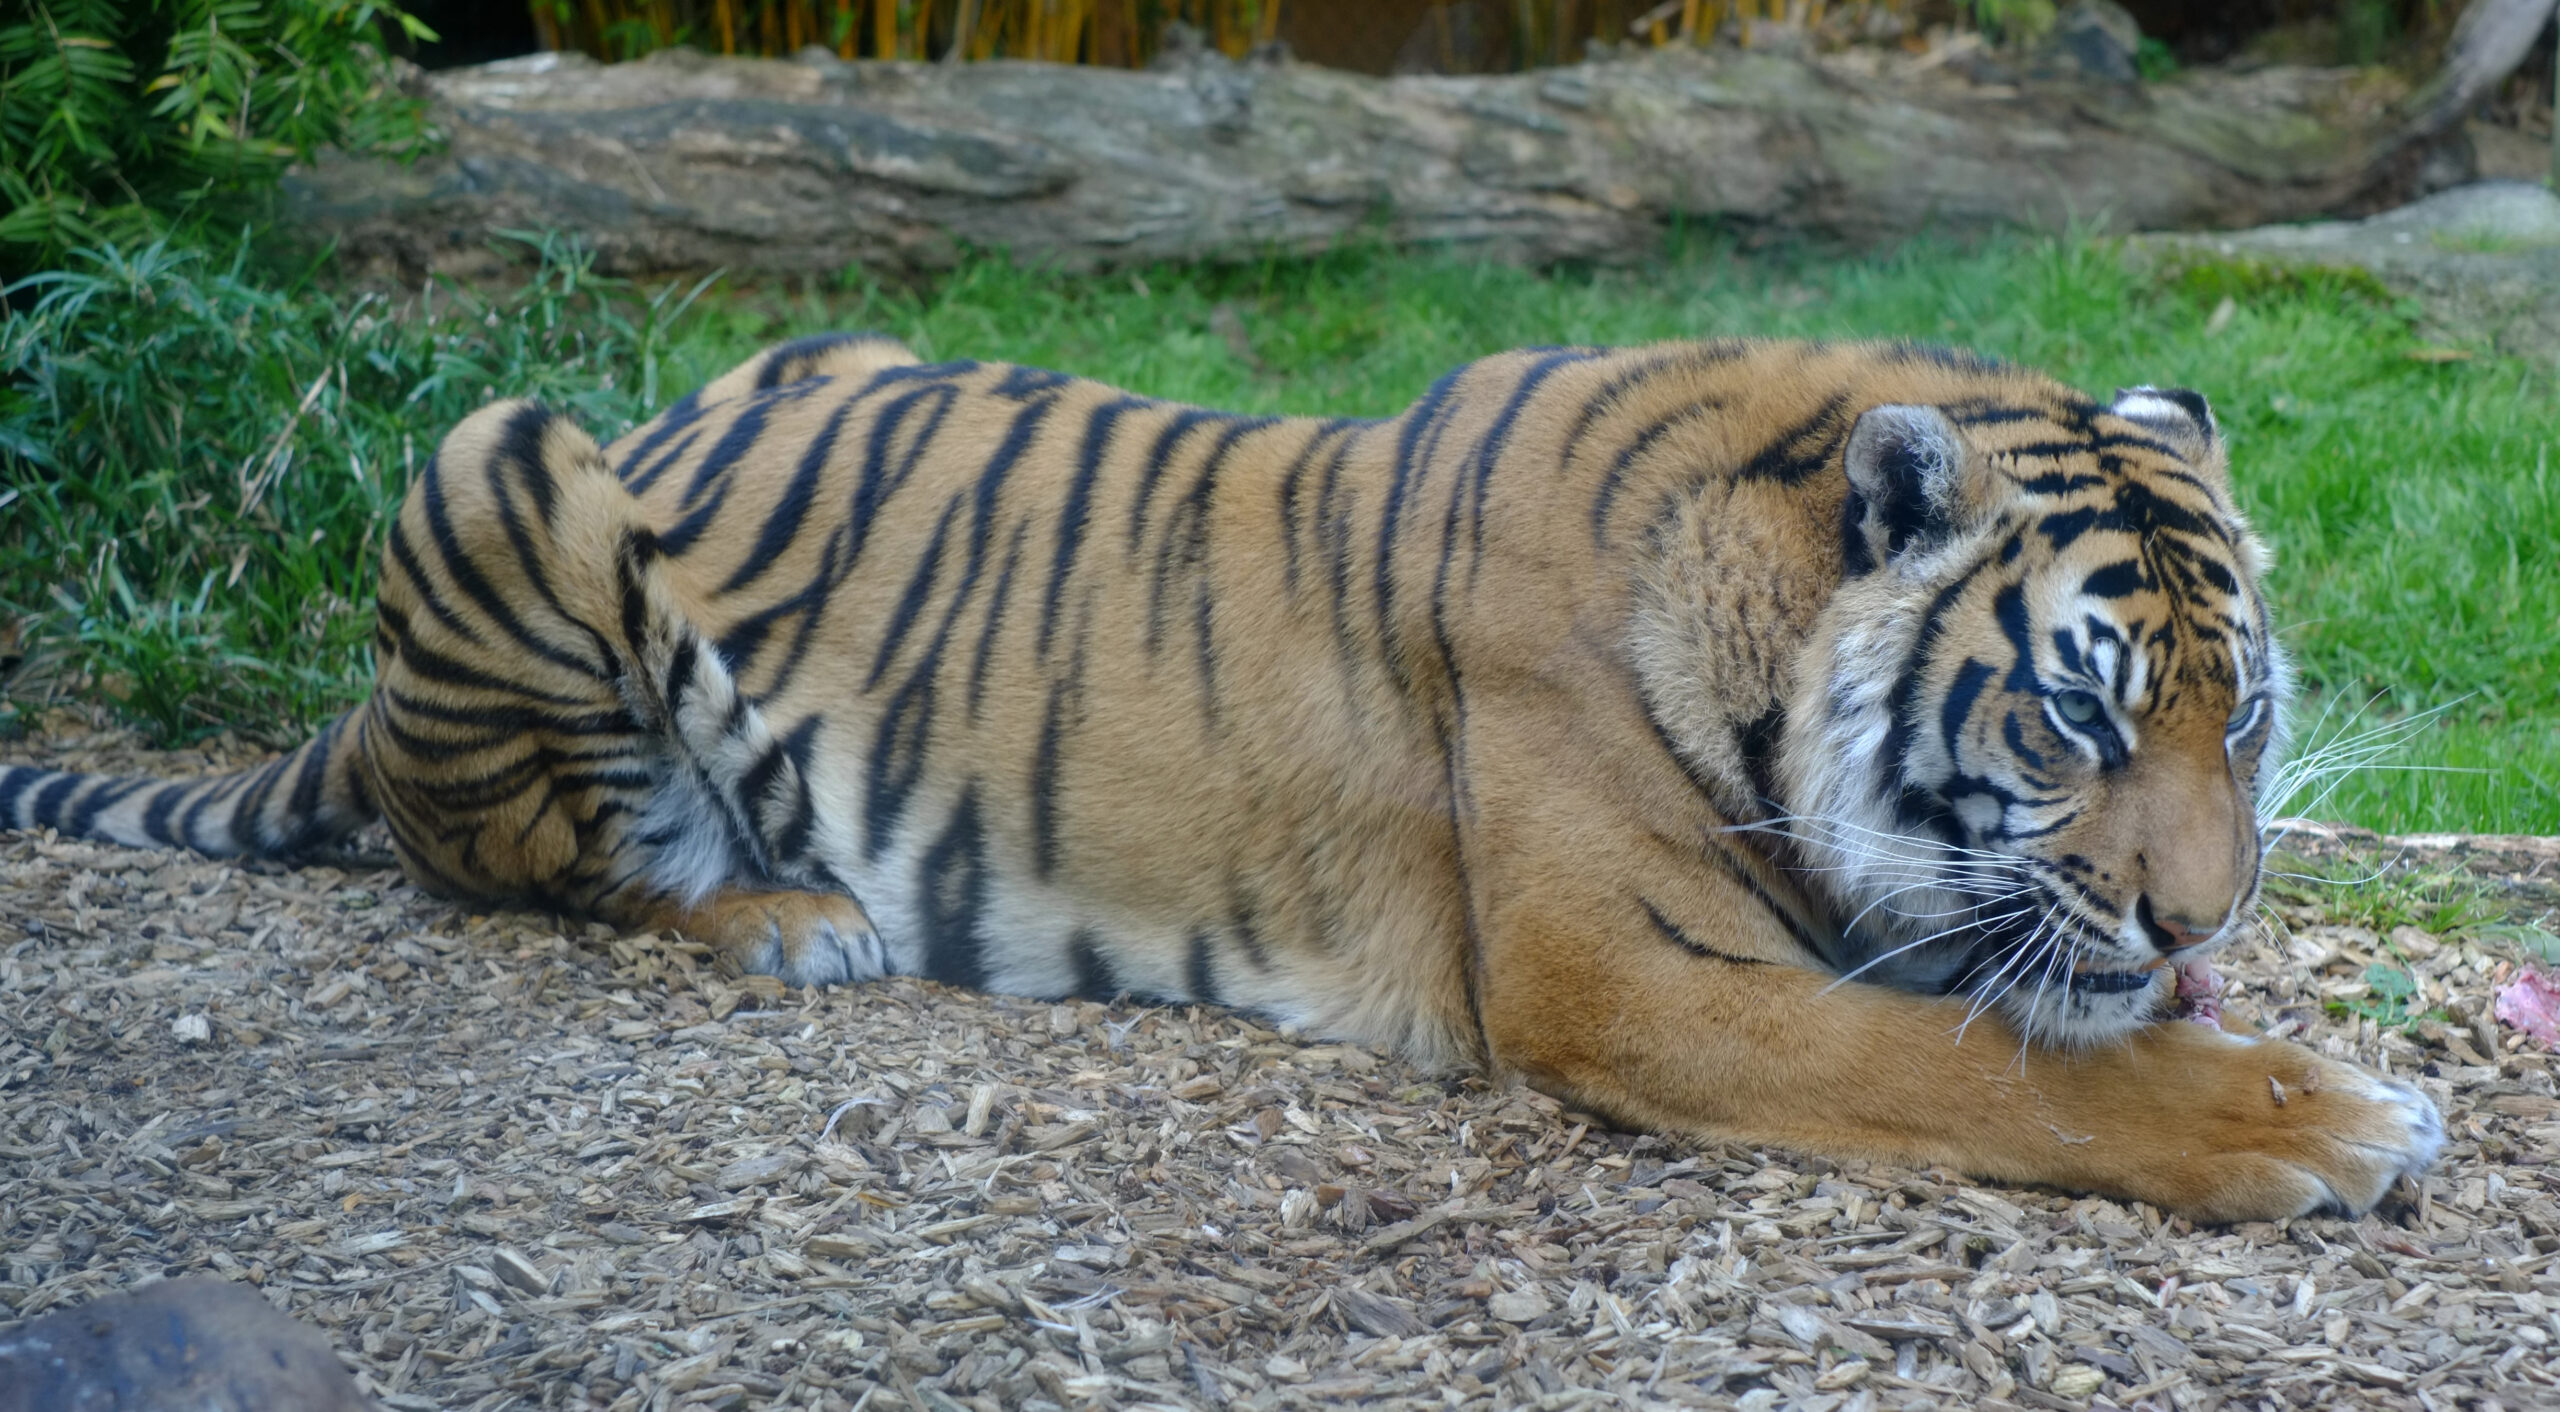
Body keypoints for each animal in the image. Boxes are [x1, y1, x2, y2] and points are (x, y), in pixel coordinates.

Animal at [2, 333, 2441, 1221]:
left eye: (2240, 716)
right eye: (2073, 715)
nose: (2201, 912)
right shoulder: (1638, 980)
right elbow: (1995, 1070)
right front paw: (2324, 1119)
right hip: (503, 457)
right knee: (521, 866)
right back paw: (787, 915)